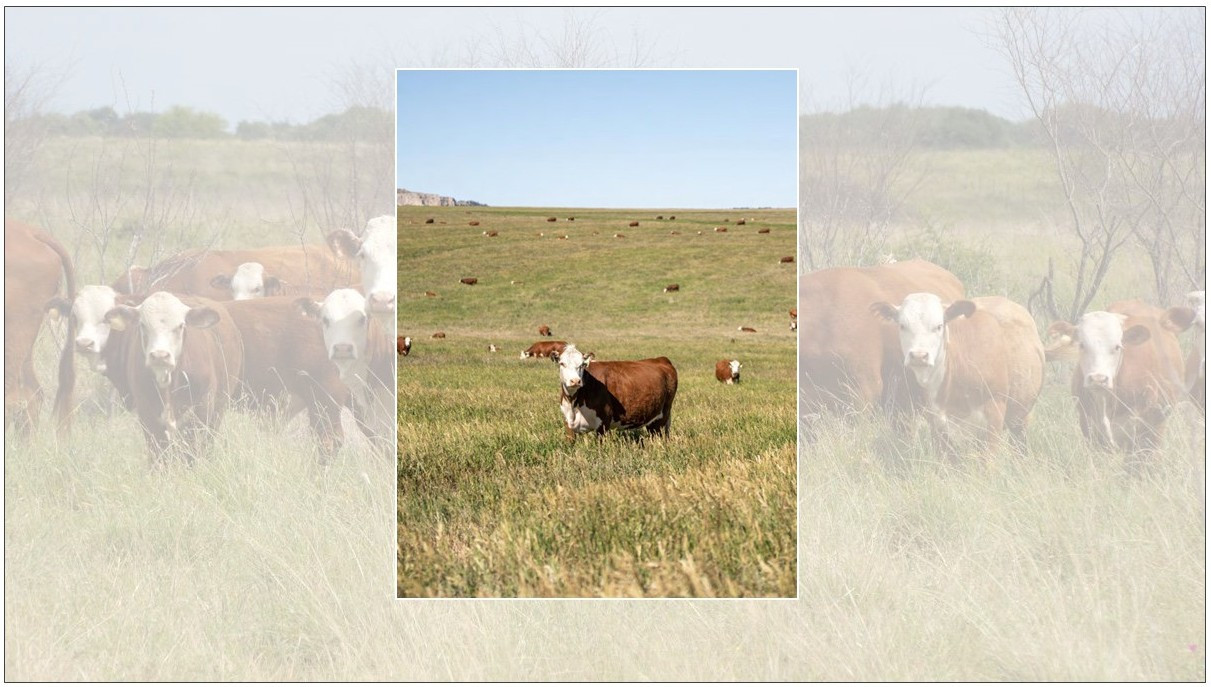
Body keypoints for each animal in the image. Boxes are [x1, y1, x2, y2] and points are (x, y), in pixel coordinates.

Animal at [105, 292, 244, 464]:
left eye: (180, 326)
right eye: (143, 325)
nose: (160, 355)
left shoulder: (202, 407)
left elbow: (192, 450)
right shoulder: (146, 411)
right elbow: (158, 454)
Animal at [871, 294, 1044, 457]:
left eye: (939, 326)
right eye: (902, 325)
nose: (919, 356)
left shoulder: (994, 418)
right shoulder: (938, 425)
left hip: (1021, 418)